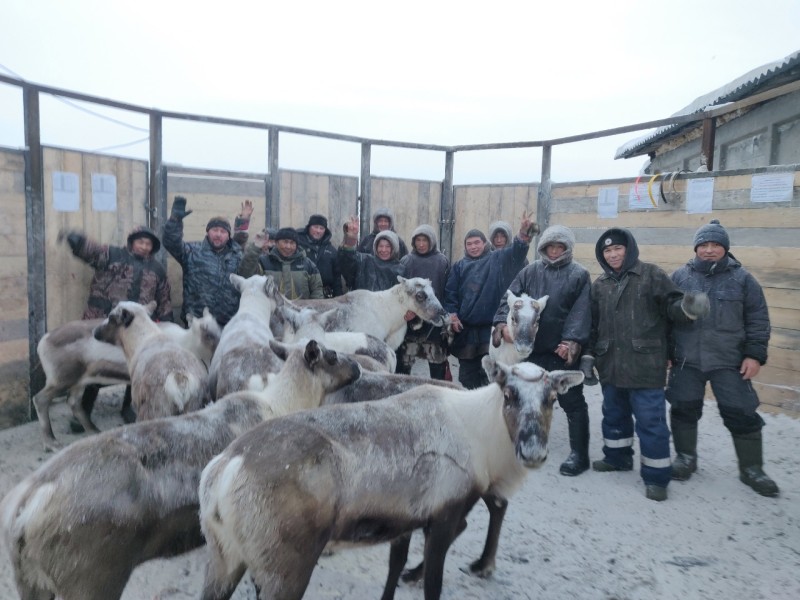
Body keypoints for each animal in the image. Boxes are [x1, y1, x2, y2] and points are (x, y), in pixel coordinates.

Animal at [198, 358, 588, 596]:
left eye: (552, 398)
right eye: (509, 393)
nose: (533, 451)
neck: (480, 433)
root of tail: (225, 470)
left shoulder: (406, 518)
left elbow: (393, 568)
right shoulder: (443, 514)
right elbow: (433, 584)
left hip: (223, 557)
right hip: (282, 567)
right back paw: (480, 564)